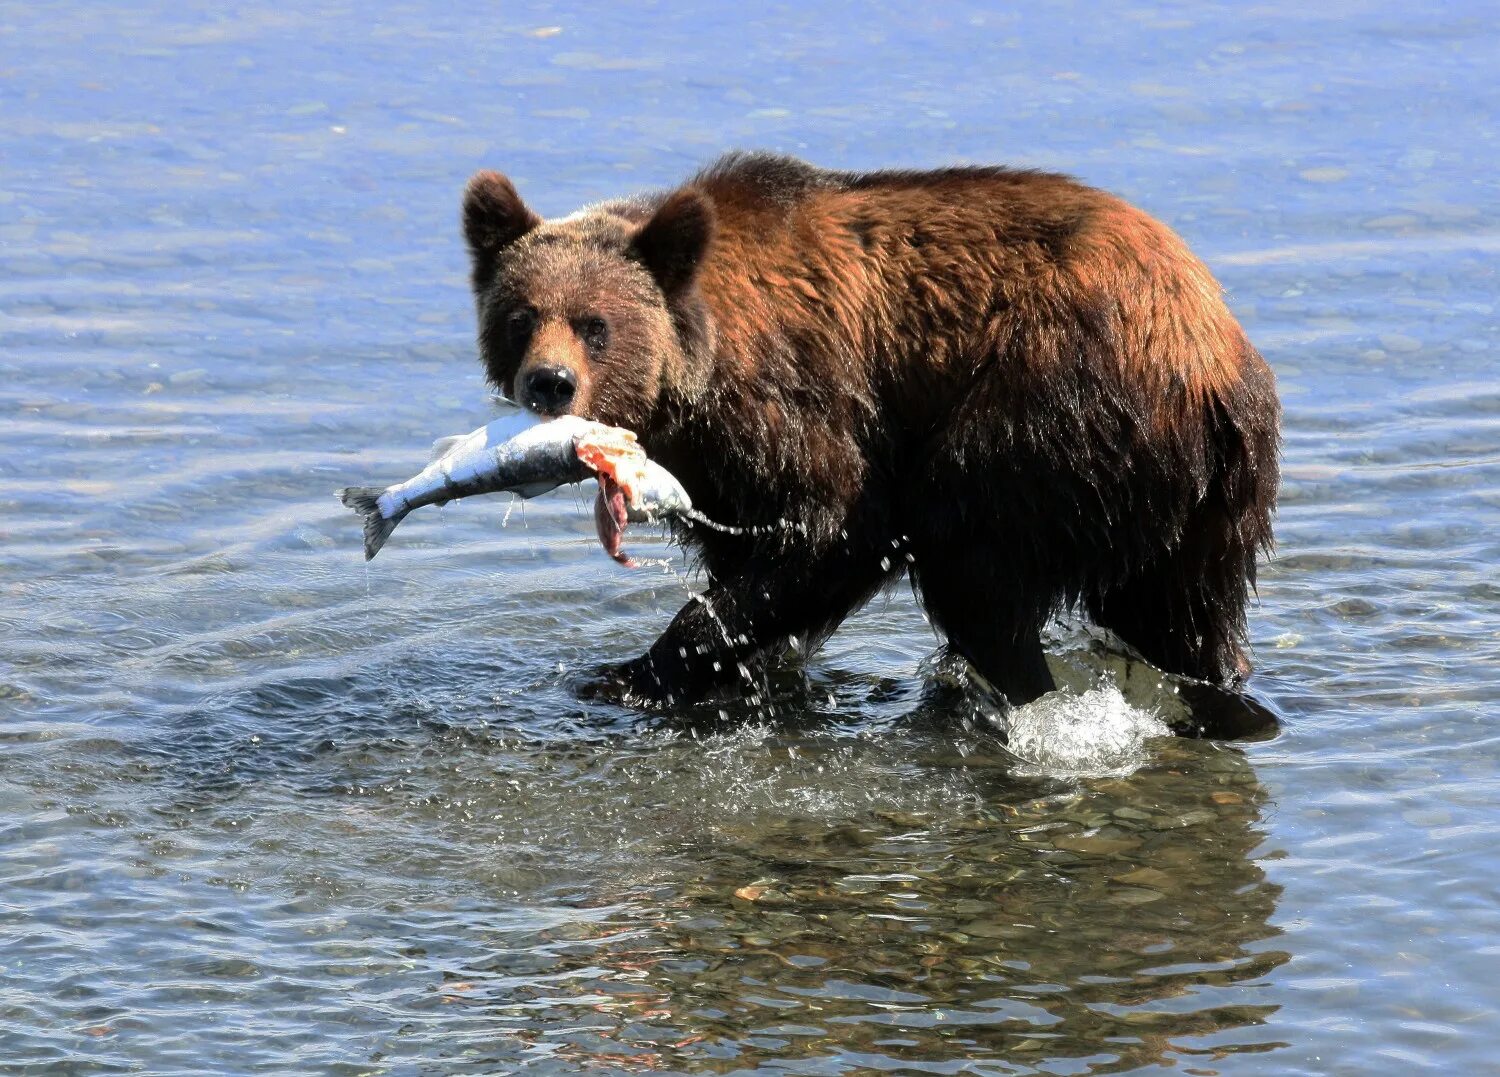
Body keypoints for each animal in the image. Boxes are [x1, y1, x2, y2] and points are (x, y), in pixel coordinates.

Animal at [459, 151, 1278, 708]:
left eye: (595, 324)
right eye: (522, 316)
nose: (549, 382)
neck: (700, 374)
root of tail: (1217, 359)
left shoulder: (792, 402)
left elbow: (837, 524)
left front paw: (636, 671)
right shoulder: (717, 470)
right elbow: (747, 554)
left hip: (1053, 403)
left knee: (969, 552)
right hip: (1192, 509)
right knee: (1183, 613)